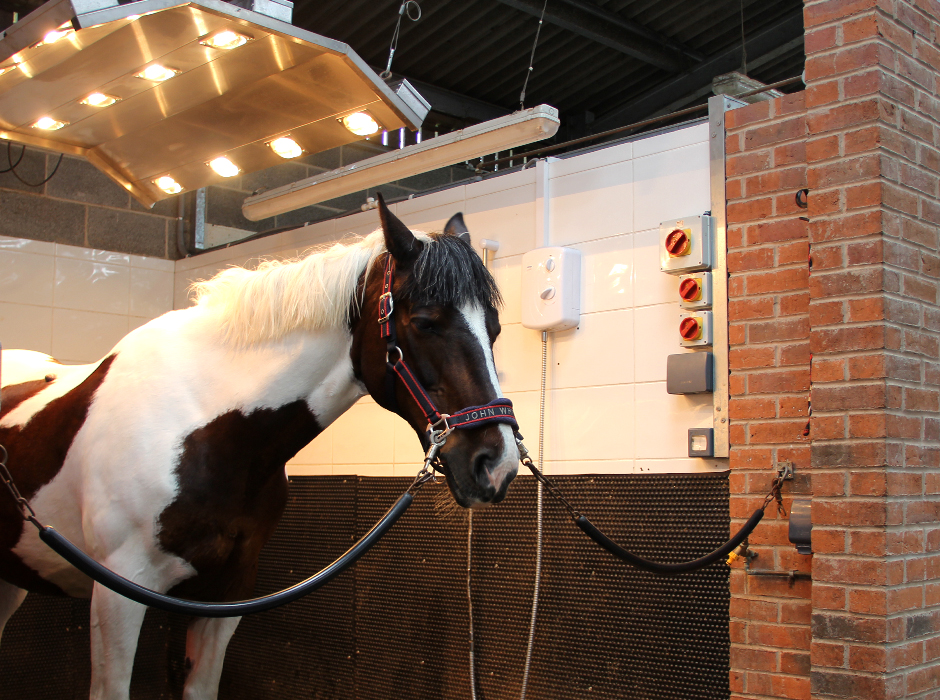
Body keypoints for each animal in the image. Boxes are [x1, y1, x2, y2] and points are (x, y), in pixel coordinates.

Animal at [0, 200, 516, 700]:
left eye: (494, 329)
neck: (204, 427)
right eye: (425, 322)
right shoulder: (120, 589)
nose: (499, 464)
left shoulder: (228, 592)